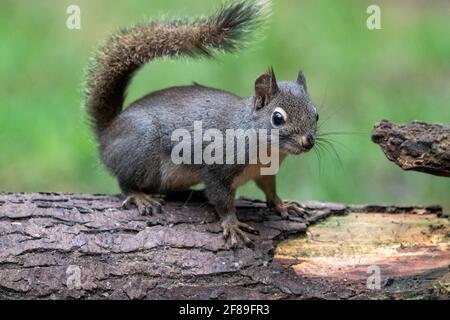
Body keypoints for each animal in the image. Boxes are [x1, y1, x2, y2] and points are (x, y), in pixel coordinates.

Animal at [83, 0, 316, 248]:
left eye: (316, 114)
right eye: (278, 118)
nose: (308, 142)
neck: (266, 149)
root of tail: (108, 134)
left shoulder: (265, 172)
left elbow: (270, 189)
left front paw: (282, 204)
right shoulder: (216, 168)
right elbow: (222, 200)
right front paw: (232, 225)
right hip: (142, 150)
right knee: (125, 182)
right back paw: (140, 197)